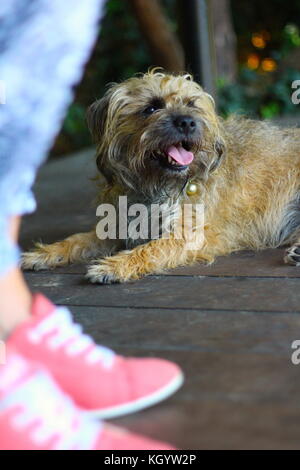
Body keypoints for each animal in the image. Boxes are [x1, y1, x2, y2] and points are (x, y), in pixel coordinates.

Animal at [22, 70, 300, 282]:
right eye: (151, 107)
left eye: (191, 104)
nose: (187, 122)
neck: (155, 183)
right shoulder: (115, 225)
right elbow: (78, 239)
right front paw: (45, 252)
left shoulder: (190, 235)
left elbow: (153, 248)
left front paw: (115, 265)